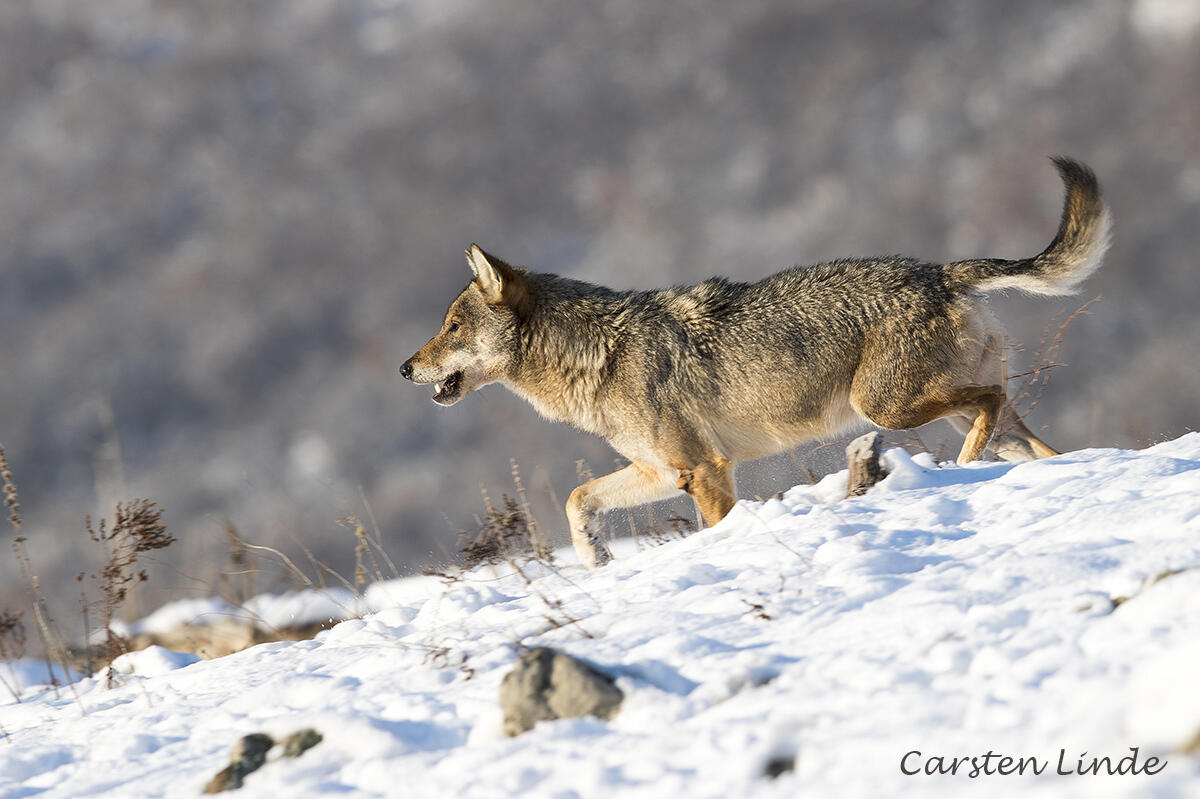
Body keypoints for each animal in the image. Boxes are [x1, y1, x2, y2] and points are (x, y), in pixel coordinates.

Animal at [402, 158, 1110, 568]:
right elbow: (580, 498)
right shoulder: (665, 471)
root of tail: (940, 271)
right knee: (1035, 442)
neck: (599, 356)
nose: (405, 369)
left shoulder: (705, 472)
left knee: (988, 410)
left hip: (885, 408)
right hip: (955, 413)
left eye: (451, 327)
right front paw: (595, 556)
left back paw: (958, 473)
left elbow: (712, 530)